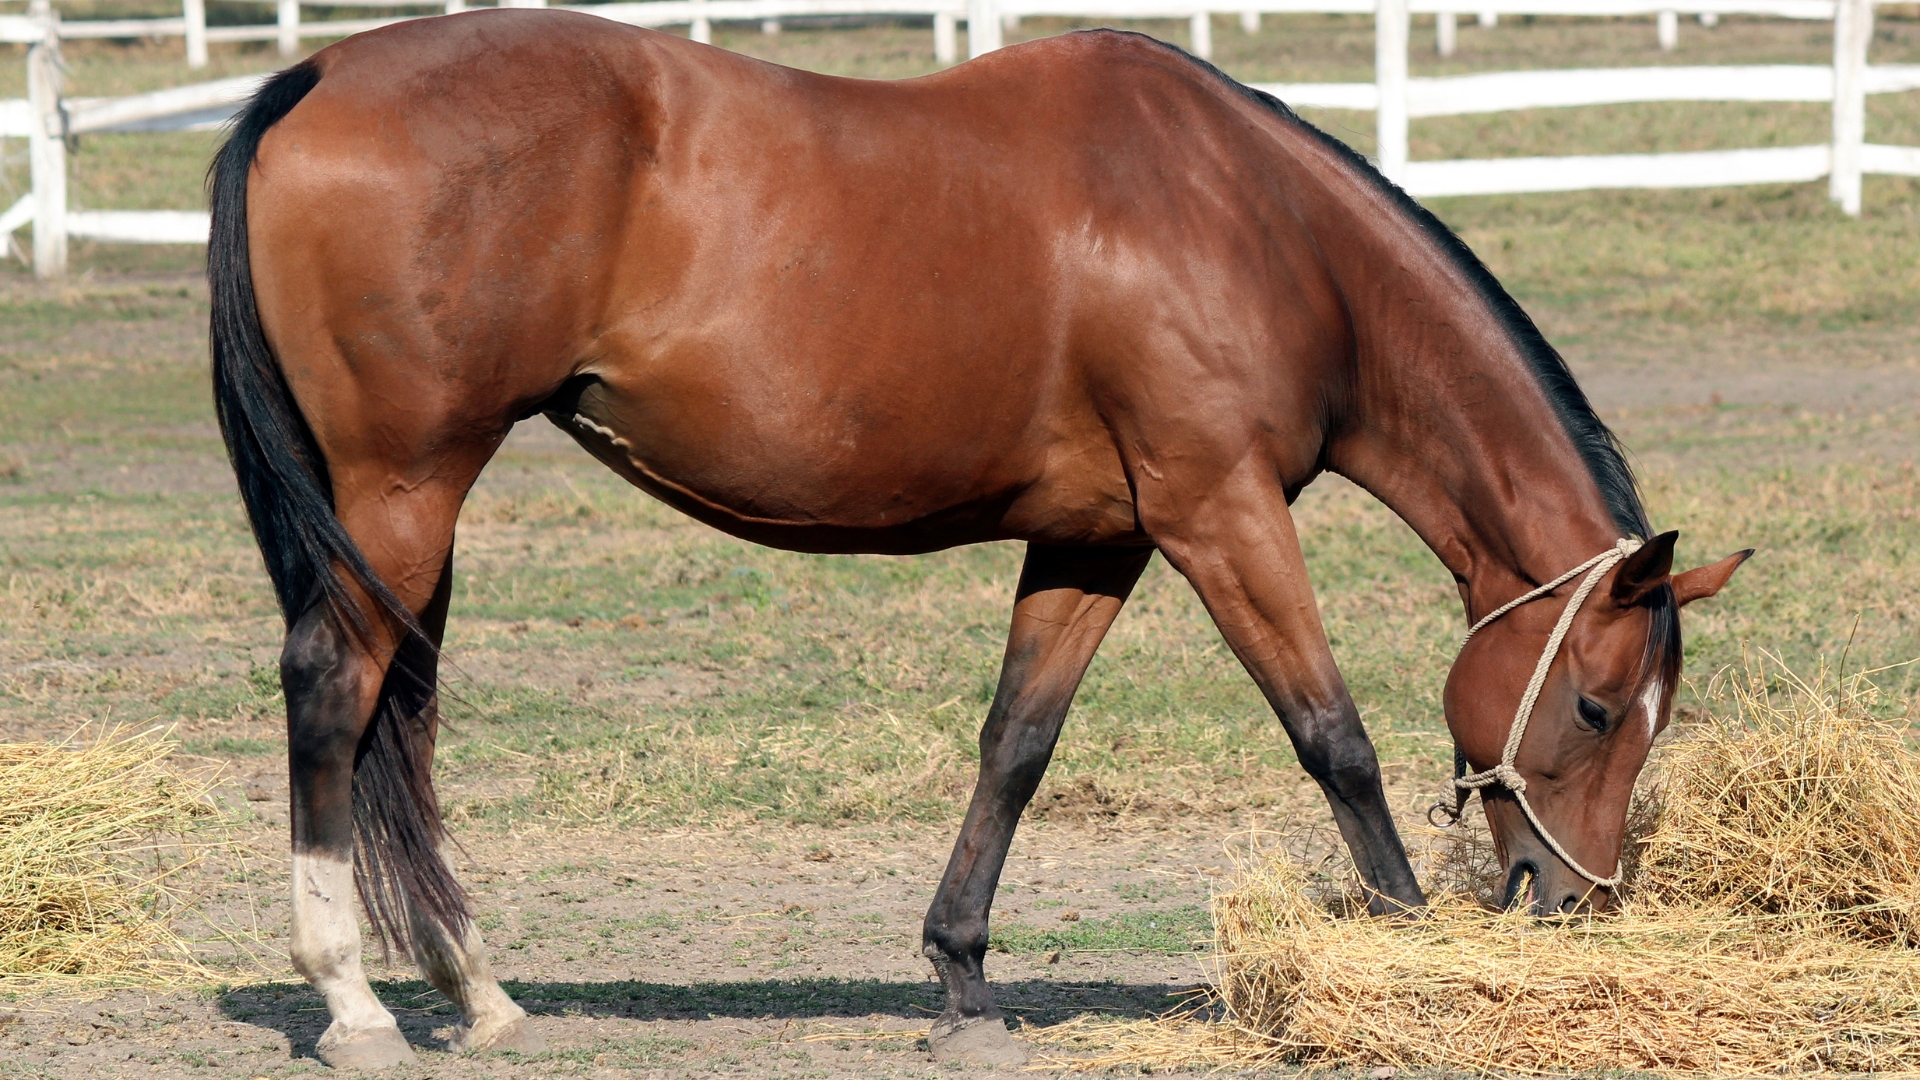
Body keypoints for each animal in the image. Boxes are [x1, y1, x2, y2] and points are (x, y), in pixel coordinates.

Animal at [207, 10, 1749, 1068]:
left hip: (407, 508)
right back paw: (354, 1001)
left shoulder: (1098, 542)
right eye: (1597, 706)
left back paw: (475, 989)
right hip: (406, 486)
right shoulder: (1220, 513)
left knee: (398, 713)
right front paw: (1407, 948)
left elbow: (1017, 744)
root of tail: (319, 76)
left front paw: (960, 980)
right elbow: (1333, 736)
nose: (1575, 903)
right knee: (335, 691)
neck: (1254, 226)